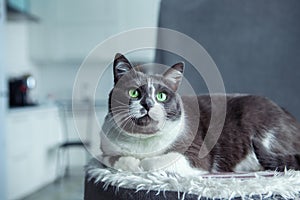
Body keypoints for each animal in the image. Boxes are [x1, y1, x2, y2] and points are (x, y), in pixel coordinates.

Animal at [99, 53, 300, 177]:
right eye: (134, 93)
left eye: (161, 96)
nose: (148, 104)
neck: (143, 142)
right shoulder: (105, 149)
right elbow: (112, 159)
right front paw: (131, 163)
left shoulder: (196, 152)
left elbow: (156, 162)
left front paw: (142, 165)